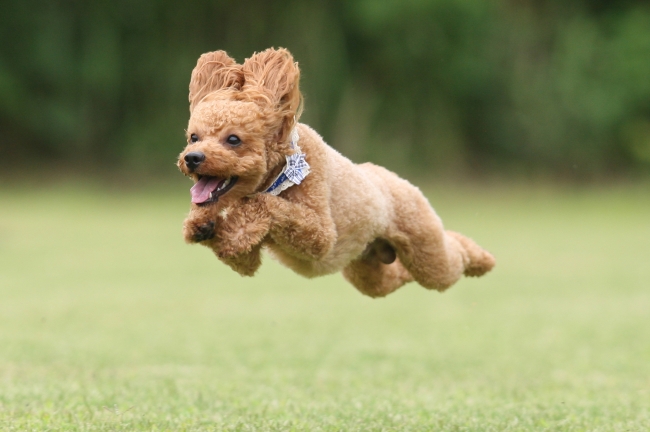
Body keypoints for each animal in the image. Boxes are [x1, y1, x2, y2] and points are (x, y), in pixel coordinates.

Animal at [177, 47, 492, 296]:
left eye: (233, 139)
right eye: (194, 137)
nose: (192, 158)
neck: (281, 174)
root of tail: (393, 177)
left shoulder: (320, 233)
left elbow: (266, 205)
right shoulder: (247, 256)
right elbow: (241, 253)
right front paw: (202, 224)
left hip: (425, 247)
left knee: (451, 256)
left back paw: (483, 260)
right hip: (368, 270)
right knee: (394, 278)